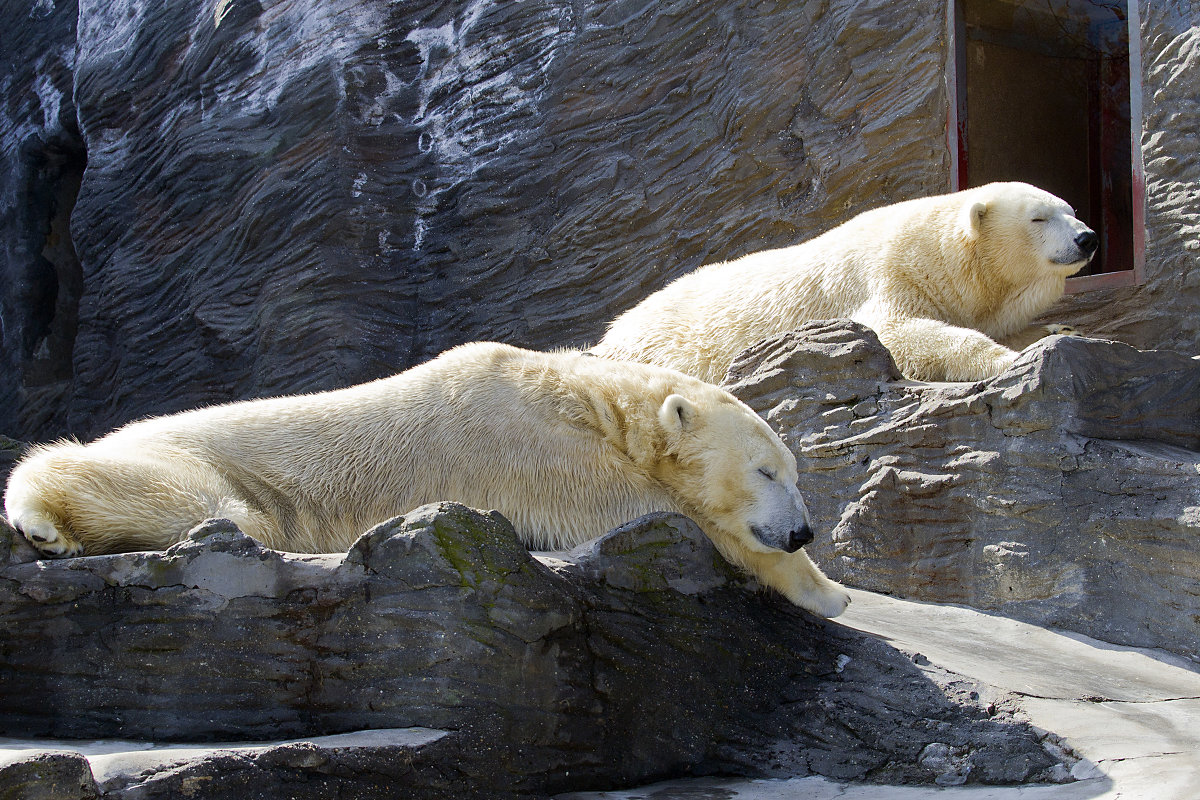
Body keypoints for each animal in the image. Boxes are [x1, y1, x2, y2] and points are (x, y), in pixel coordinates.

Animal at [7, 340, 854, 618]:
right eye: (767, 469)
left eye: (792, 469)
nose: (804, 526)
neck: (584, 400)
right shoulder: (533, 456)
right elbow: (653, 509)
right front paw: (826, 588)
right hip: (198, 461)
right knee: (214, 505)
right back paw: (43, 521)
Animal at [590, 183, 1099, 383]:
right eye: (1039, 217)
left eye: (1071, 209)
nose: (1087, 237)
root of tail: (610, 333)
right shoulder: (895, 273)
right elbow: (897, 332)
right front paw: (1006, 358)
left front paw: (1059, 330)